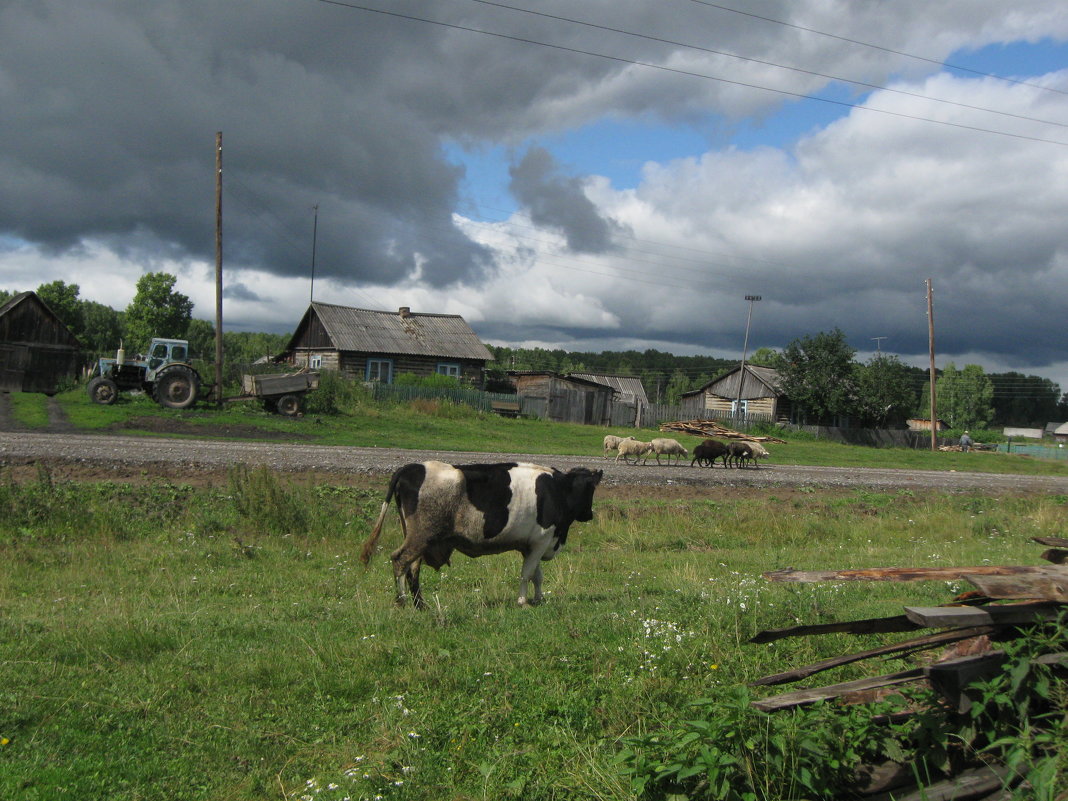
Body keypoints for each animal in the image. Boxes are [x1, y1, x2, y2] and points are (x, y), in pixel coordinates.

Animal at [358, 463, 606, 606]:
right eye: (591, 489)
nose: (589, 514)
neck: (558, 489)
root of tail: (412, 467)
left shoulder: (531, 545)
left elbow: (537, 575)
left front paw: (538, 598)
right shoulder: (542, 539)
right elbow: (526, 574)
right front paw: (523, 601)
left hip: (417, 538)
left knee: (412, 567)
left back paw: (420, 605)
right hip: (421, 536)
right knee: (400, 560)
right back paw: (402, 602)